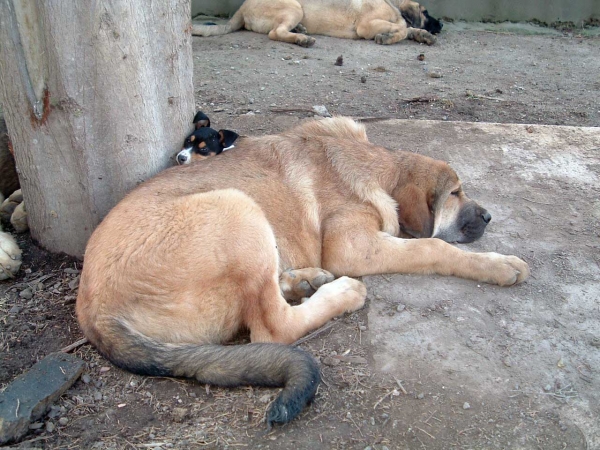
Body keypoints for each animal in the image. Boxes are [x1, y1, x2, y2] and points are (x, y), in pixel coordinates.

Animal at [76, 116, 528, 426]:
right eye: (456, 193)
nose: (489, 217)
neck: (377, 166)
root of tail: (93, 312)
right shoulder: (352, 246)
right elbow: (432, 245)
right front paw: (499, 264)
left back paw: (304, 279)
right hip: (237, 207)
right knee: (273, 327)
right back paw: (341, 291)